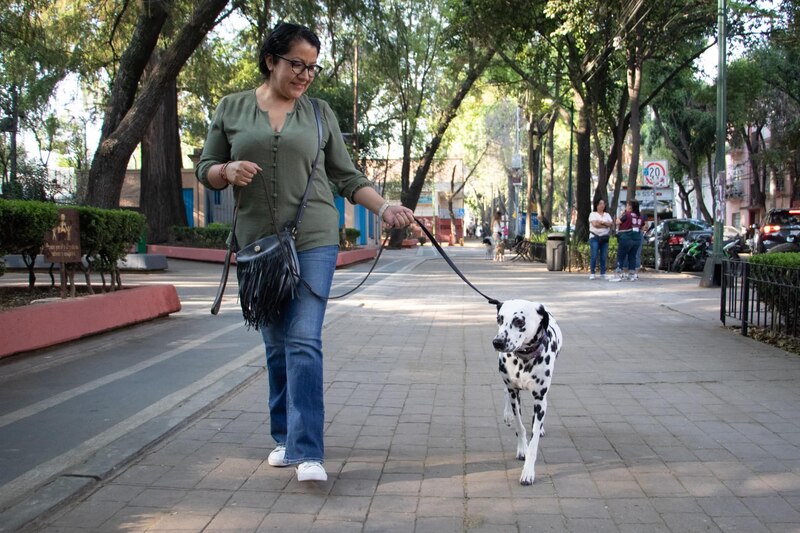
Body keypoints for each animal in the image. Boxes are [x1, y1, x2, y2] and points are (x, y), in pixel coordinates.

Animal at [494, 298, 564, 484]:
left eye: (519, 321)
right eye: (499, 319)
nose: (497, 342)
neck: (524, 360)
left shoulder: (539, 399)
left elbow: (534, 439)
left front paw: (528, 472)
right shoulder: (514, 393)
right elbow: (520, 427)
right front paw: (522, 449)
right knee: (505, 391)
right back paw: (507, 415)